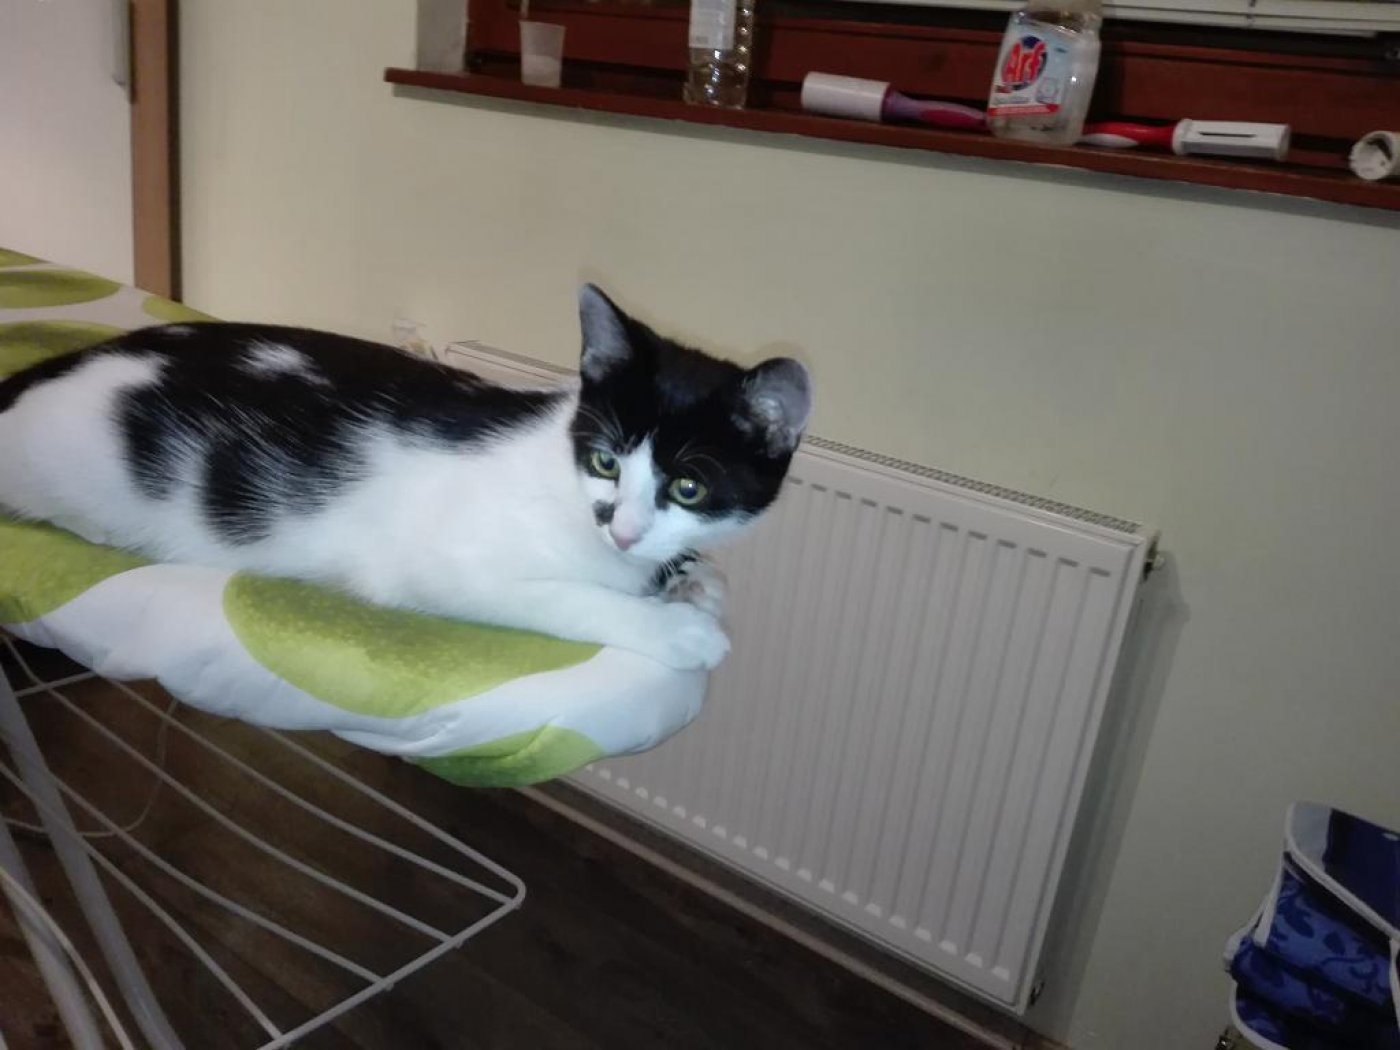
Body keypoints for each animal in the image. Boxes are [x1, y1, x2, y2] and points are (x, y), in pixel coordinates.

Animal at [0, 285, 811, 671]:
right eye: (606, 459)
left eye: (688, 488)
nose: (622, 528)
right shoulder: (448, 566)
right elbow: (568, 601)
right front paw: (678, 629)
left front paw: (690, 580)